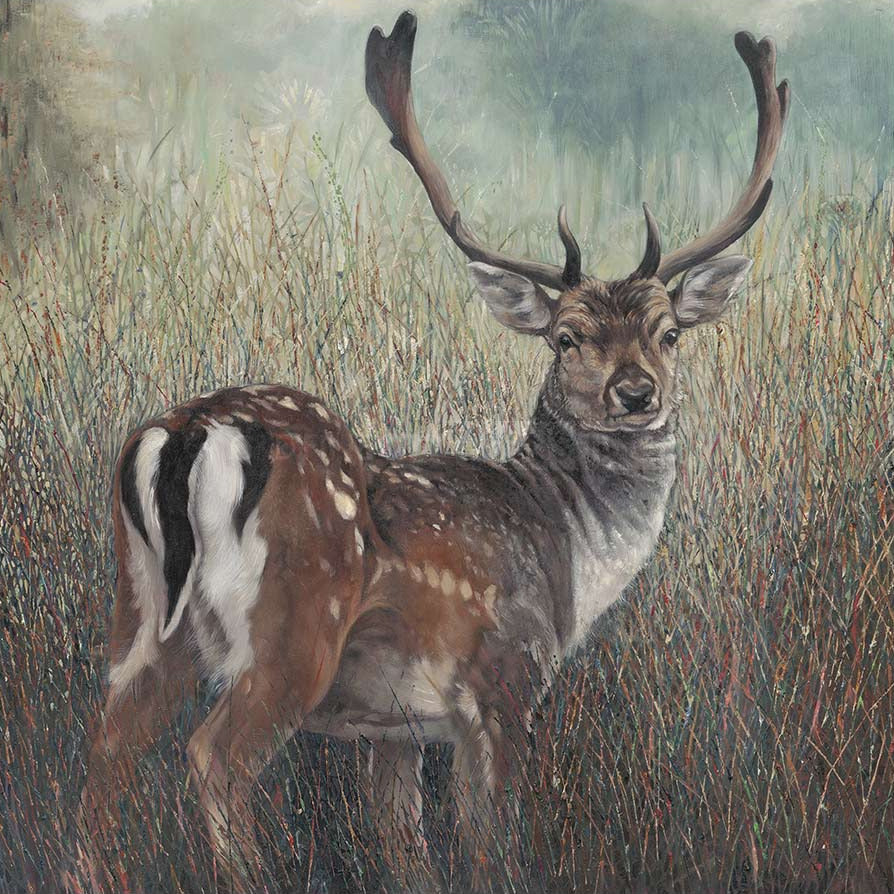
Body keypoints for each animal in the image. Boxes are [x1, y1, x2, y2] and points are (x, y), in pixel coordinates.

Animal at [70, 10, 789, 891]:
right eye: (566, 337)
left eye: (670, 332)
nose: (636, 392)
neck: (570, 554)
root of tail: (193, 432)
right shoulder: (501, 684)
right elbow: (489, 846)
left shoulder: (397, 729)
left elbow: (404, 847)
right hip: (292, 629)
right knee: (215, 758)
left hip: (140, 622)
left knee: (105, 756)